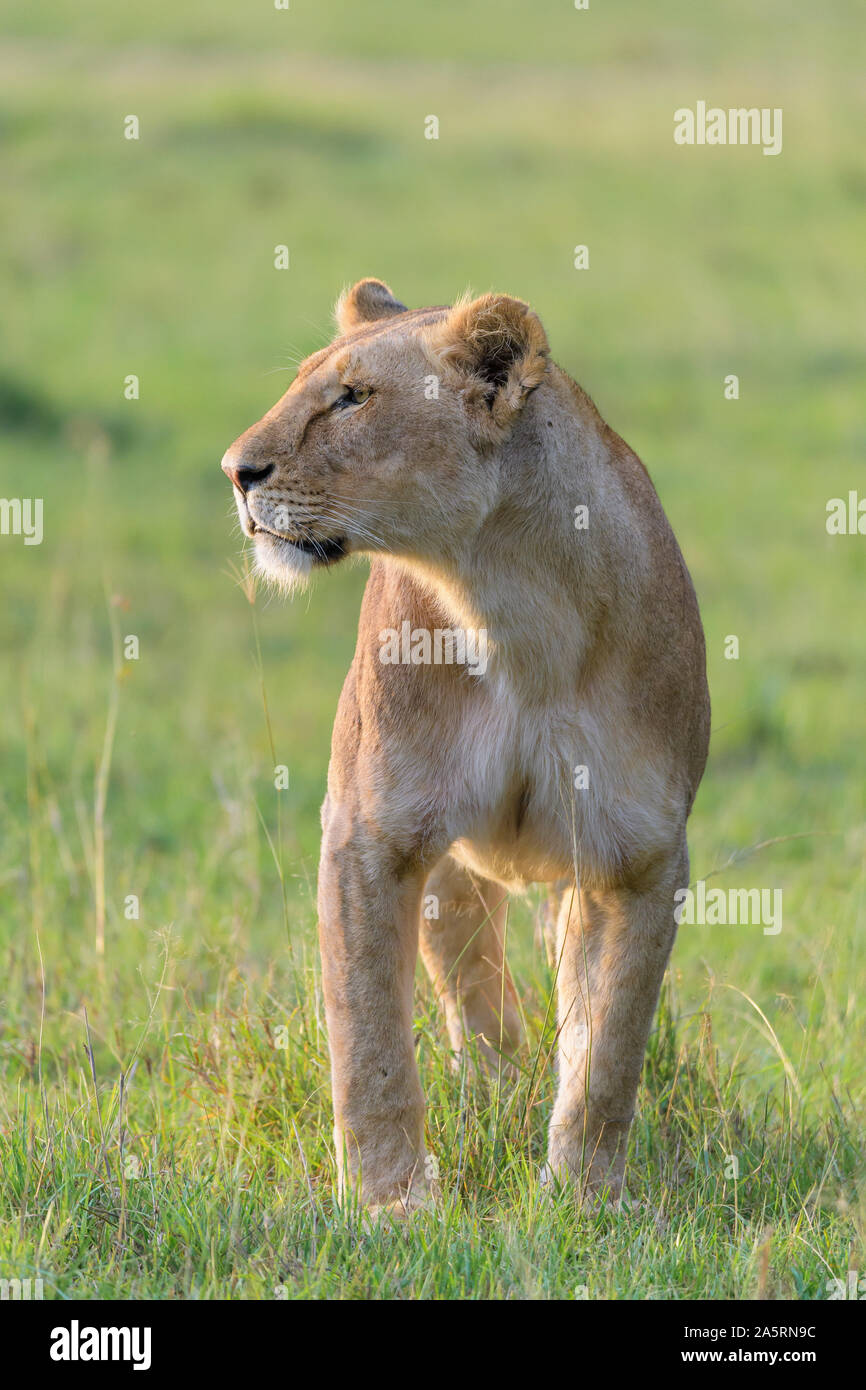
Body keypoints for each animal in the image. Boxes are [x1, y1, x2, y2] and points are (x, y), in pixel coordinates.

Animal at [222, 279, 710, 1216]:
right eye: (303, 384)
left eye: (353, 397)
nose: (235, 471)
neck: (509, 602)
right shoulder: (372, 833)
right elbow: (369, 1045)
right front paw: (391, 1204)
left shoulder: (638, 855)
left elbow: (608, 1051)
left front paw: (584, 1201)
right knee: (472, 983)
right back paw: (491, 1086)